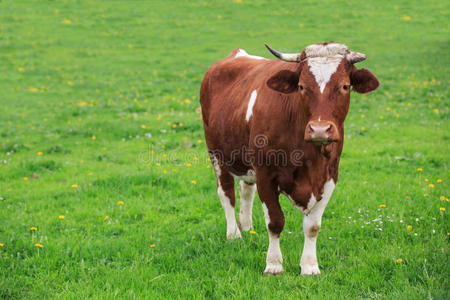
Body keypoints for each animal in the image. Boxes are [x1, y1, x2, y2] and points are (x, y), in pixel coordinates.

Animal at [200, 41, 380, 274]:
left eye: (345, 86)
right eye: (302, 86)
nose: (320, 130)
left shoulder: (330, 176)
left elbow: (313, 226)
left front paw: (310, 266)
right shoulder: (266, 175)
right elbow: (275, 222)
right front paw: (274, 264)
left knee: (246, 190)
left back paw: (247, 228)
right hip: (217, 154)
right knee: (226, 193)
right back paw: (234, 234)